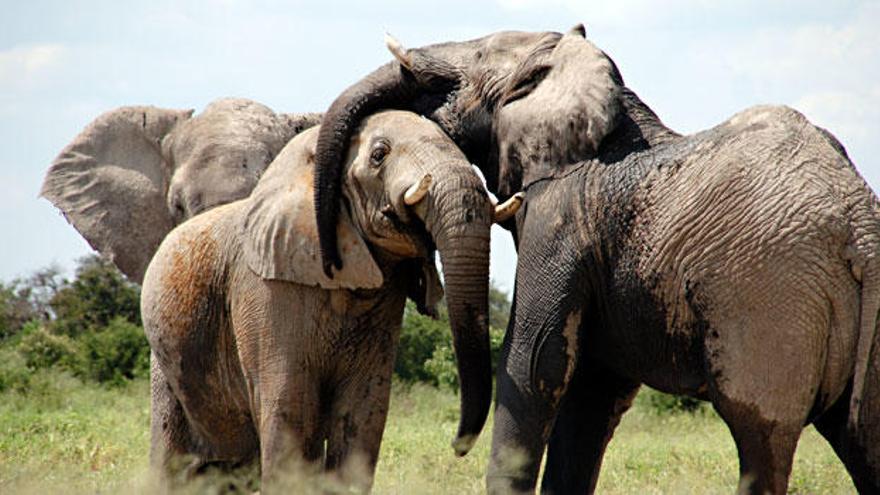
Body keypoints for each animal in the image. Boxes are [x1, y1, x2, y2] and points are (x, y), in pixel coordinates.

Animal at [140, 109, 520, 492]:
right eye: (379, 155)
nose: (457, 447)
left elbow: (363, 412)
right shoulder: (266, 289)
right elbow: (290, 408)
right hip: (164, 362)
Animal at [310, 28, 880, 495]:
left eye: (477, 56)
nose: (332, 260)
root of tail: (859, 223)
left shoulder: (559, 217)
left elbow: (533, 362)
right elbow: (589, 393)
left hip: (770, 301)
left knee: (760, 441)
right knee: (863, 440)